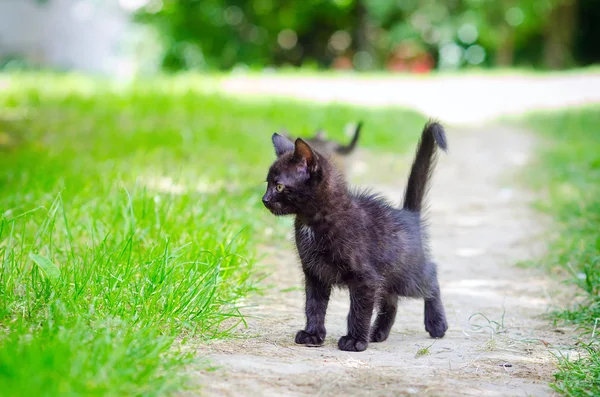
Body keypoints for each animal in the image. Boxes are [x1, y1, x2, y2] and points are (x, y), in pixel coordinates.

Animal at [260, 120, 448, 350]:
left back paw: (436, 323)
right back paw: (377, 333)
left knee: (431, 276)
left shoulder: (366, 278)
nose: (264, 199)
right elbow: (313, 305)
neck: (313, 222)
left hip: (407, 275)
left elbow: (358, 310)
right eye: (267, 184)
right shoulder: (314, 273)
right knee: (391, 300)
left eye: (279, 186)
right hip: (389, 275)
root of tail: (409, 215)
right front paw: (312, 334)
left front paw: (355, 340)